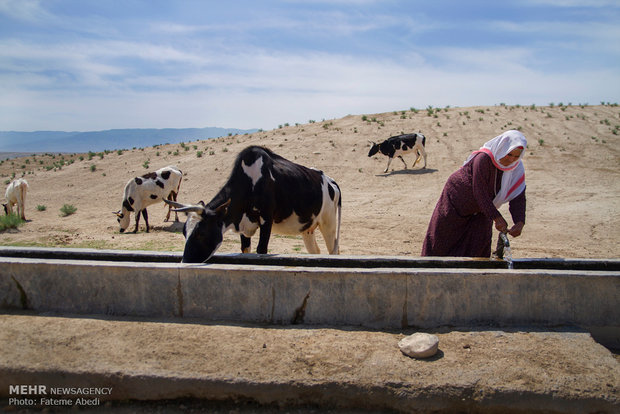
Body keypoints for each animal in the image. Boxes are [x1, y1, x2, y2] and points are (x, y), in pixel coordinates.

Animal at [165, 146, 342, 262]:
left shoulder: (266, 220)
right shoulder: (243, 226)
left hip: (329, 224)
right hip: (308, 229)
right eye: (184, 232)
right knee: (316, 251)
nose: (184, 262)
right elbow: (246, 251)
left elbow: (261, 250)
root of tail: (330, 180)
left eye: (201, 233)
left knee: (333, 250)